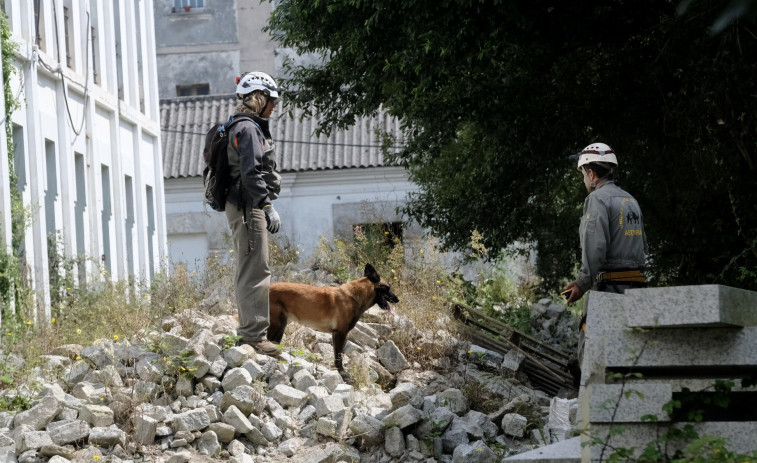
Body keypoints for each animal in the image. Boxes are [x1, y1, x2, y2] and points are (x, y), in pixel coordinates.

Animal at [268, 262, 398, 378]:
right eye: (388, 287)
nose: (398, 299)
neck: (355, 296)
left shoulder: (336, 335)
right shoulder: (340, 334)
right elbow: (338, 357)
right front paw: (342, 373)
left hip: (281, 326)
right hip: (276, 325)